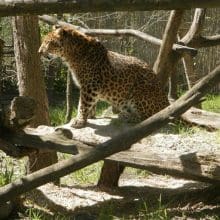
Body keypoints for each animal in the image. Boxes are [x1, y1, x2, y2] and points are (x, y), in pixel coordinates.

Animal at [38, 26, 168, 128]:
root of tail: (167, 103)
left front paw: (79, 121)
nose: (39, 52)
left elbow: (83, 104)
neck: (71, 56)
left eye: (48, 42)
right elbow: (88, 103)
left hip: (139, 93)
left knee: (152, 117)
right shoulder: (89, 87)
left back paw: (128, 117)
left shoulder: (90, 85)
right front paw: (89, 117)